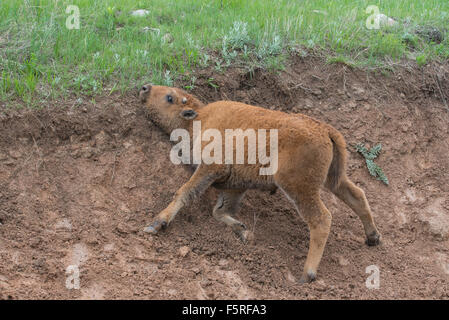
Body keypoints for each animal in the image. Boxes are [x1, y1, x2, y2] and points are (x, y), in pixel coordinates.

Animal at [138, 84, 380, 282]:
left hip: (298, 187)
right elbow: (219, 211)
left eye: (169, 97)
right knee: (357, 195)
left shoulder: (210, 168)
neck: (198, 119)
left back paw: (307, 274)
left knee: (321, 219)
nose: (144, 87)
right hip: (332, 179)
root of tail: (325, 129)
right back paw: (372, 237)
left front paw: (156, 223)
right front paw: (243, 230)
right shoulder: (235, 185)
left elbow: (186, 192)